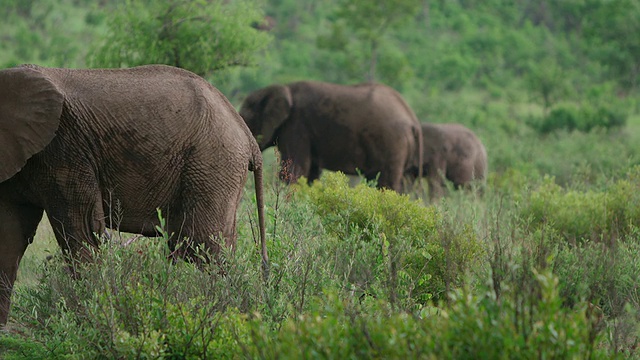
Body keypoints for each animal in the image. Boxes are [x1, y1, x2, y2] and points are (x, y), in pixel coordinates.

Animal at [0, 64, 268, 326]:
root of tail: (247, 135)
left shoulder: (64, 149)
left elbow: (81, 232)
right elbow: (9, 234)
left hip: (212, 163)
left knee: (203, 246)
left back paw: (226, 316)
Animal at [238, 79, 422, 191]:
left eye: (247, 119)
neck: (283, 88)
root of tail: (412, 119)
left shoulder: (296, 126)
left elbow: (295, 169)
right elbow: (311, 173)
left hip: (392, 143)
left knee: (386, 183)